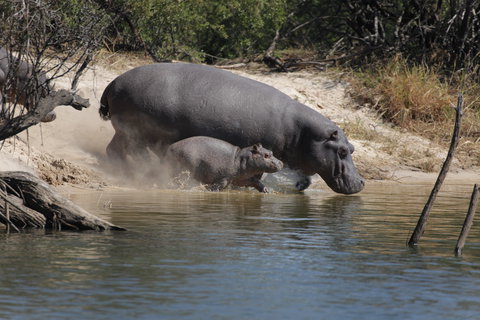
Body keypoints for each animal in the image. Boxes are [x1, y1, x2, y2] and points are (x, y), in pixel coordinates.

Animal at [100, 62, 364, 192]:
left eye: (352, 148)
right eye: (342, 151)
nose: (362, 182)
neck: (305, 133)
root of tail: (113, 82)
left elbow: (305, 179)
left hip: (133, 133)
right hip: (131, 132)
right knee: (118, 151)